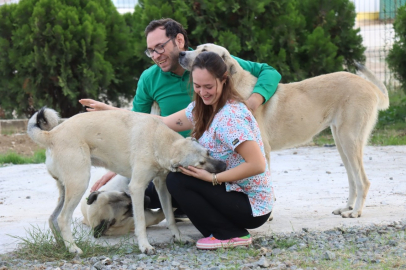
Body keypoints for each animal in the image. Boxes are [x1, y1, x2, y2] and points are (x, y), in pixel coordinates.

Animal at [27, 107, 227, 253]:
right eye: (200, 164)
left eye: (208, 153)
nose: (224, 166)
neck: (158, 140)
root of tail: (52, 134)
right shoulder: (137, 188)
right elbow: (141, 222)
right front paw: (145, 246)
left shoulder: (162, 185)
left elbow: (169, 215)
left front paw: (177, 237)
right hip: (79, 183)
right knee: (63, 218)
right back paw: (73, 248)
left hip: (65, 188)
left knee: (52, 218)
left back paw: (63, 246)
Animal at [179, 43, 388, 218]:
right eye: (195, 47)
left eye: (204, 50)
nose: (181, 53)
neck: (235, 86)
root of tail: (369, 85)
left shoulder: (264, 151)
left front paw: (268, 216)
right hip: (341, 142)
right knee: (353, 178)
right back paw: (347, 207)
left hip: (349, 140)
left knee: (363, 180)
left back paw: (356, 211)